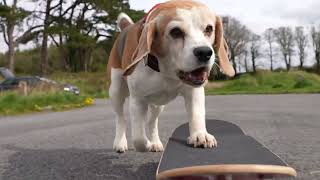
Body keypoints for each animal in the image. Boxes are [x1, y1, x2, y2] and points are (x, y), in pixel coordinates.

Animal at [107, 0, 235, 153]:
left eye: (209, 29)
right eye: (176, 32)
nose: (204, 52)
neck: (167, 72)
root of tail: (127, 27)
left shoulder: (194, 91)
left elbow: (196, 113)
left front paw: (200, 135)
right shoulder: (137, 100)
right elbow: (138, 139)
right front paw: (146, 144)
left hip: (157, 104)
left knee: (151, 122)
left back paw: (155, 142)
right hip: (116, 91)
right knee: (121, 118)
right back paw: (120, 143)